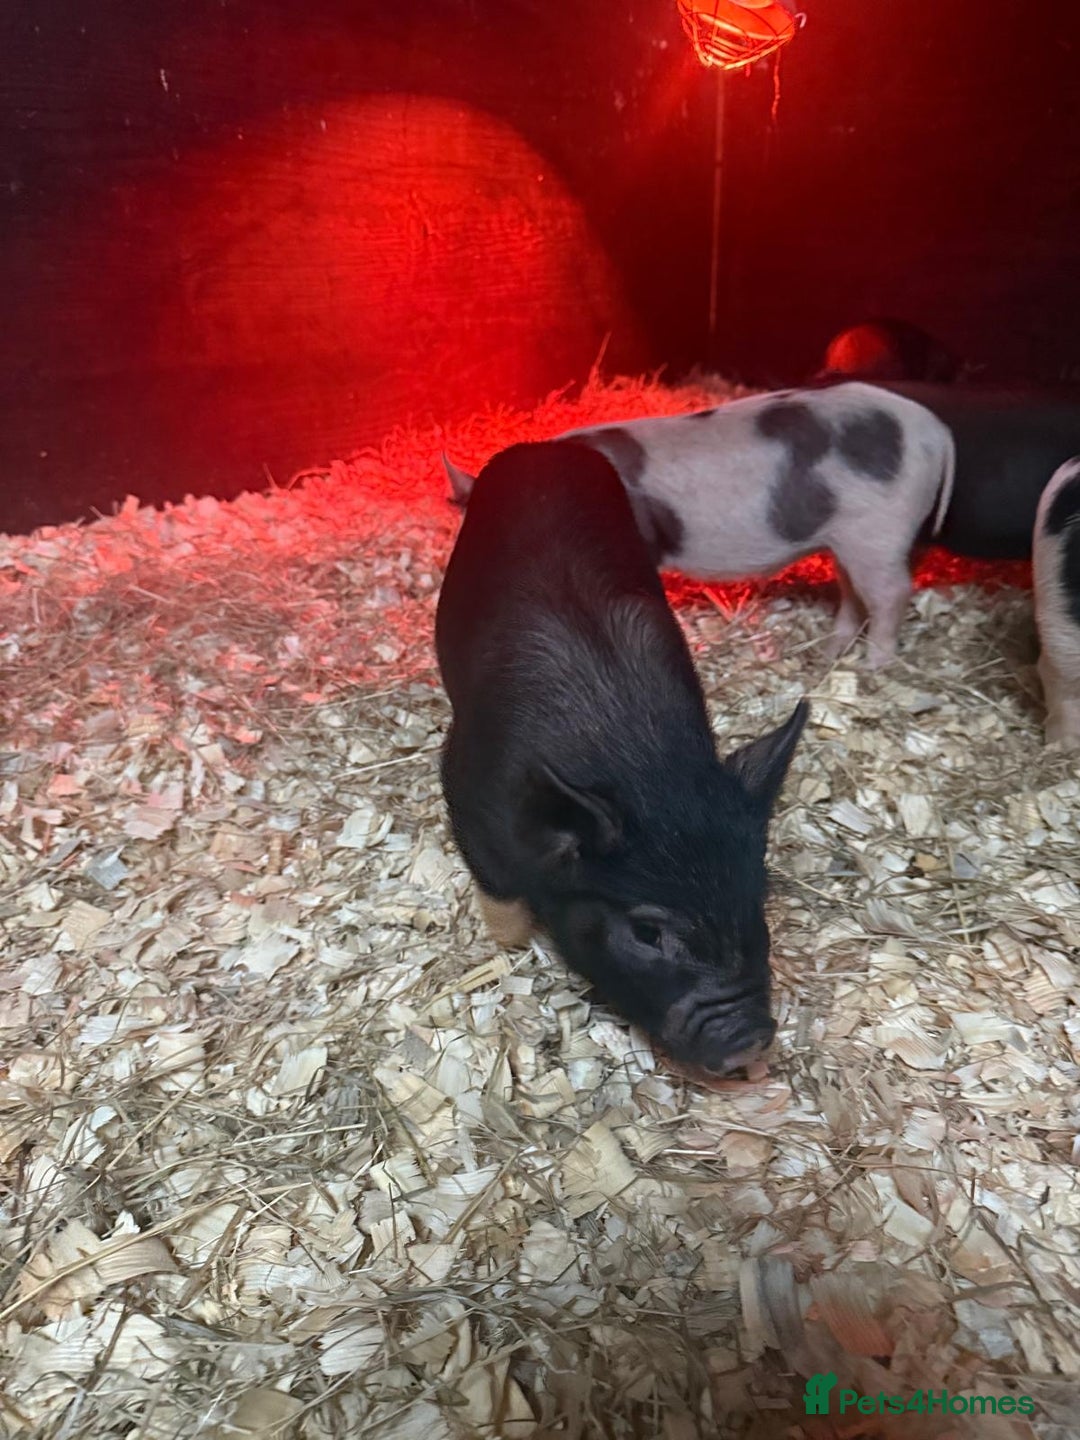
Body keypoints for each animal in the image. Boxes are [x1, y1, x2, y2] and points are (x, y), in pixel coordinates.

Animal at [435, 439, 808, 1077]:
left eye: (756, 895)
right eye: (647, 933)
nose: (751, 1041)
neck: (641, 762)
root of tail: (541, 447)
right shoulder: (464, 789)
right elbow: (503, 904)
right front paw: (509, 944)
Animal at [444, 382, 956, 668]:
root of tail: (935, 431)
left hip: (880, 528)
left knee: (892, 592)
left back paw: (873, 669)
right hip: (849, 538)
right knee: (854, 593)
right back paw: (830, 655)